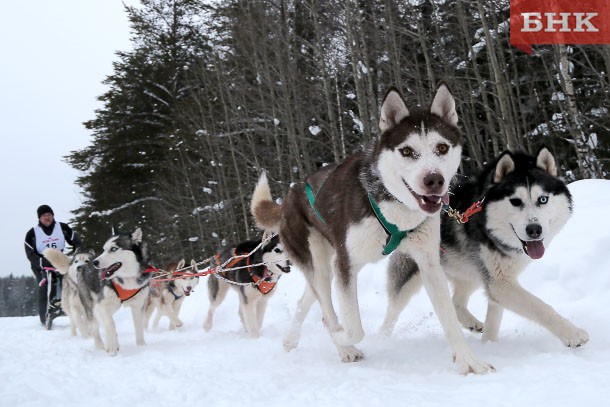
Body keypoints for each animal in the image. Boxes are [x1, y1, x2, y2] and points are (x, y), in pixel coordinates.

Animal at [249, 83, 492, 376]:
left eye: (442, 147)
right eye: (407, 151)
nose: (434, 180)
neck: (394, 207)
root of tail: (288, 198)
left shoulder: (428, 263)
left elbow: (450, 320)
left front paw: (469, 361)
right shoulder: (346, 264)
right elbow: (354, 327)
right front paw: (343, 337)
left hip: (329, 264)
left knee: (310, 300)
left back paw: (290, 340)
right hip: (319, 260)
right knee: (326, 306)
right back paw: (342, 347)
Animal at [382, 148, 588, 350]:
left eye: (543, 199)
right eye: (515, 201)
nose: (534, 229)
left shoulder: (497, 279)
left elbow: (494, 315)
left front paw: (490, 345)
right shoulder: (499, 283)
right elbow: (540, 307)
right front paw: (573, 334)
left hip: (470, 270)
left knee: (456, 302)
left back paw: (471, 322)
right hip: (412, 275)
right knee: (390, 315)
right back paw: (381, 340)